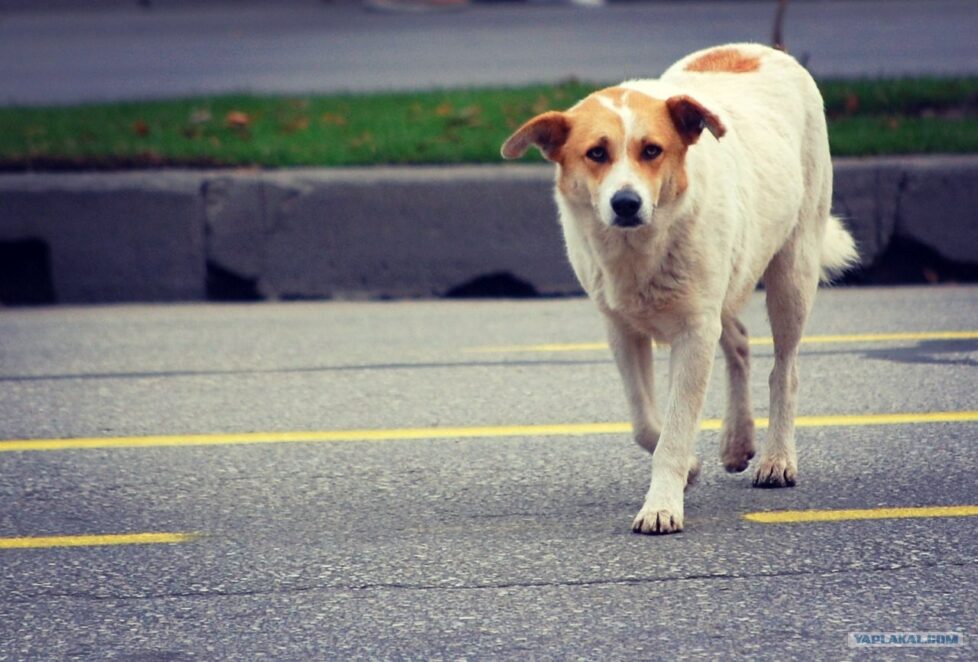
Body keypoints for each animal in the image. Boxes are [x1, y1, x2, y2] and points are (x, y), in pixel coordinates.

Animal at [504, 44, 856, 536]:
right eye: (596, 153)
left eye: (652, 150)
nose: (626, 203)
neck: (639, 249)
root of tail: (758, 48)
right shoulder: (622, 330)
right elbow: (647, 425)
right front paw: (689, 467)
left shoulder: (693, 332)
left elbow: (673, 429)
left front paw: (662, 505)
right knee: (739, 343)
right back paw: (737, 441)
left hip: (793, 271)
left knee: (784, 370)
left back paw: (776, 458)